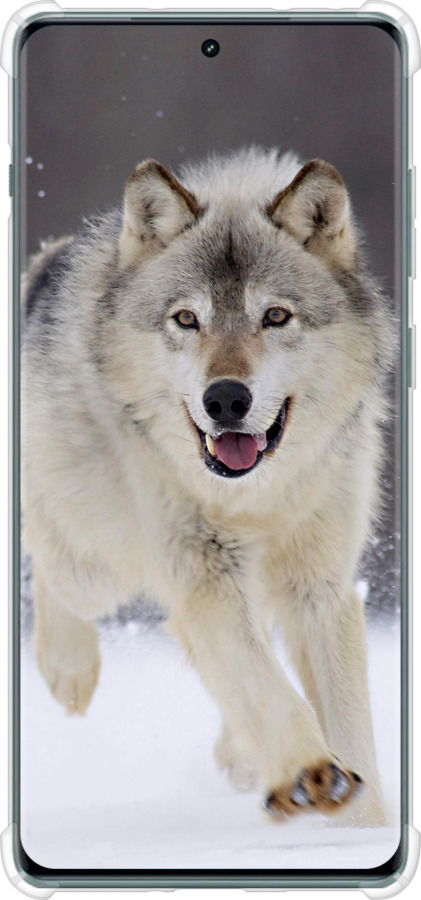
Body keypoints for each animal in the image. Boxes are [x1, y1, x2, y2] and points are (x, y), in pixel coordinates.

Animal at [22, 147, 394, 826]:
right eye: (187, 319)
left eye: (275, 316)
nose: (225, 399)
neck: (255, 497)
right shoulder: (204, 573)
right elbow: (267, 687)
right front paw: (309, 773)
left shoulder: (319, 586)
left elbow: (348, 723)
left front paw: (362, 826)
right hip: (98, 566)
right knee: (50, 558)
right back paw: (69, 670)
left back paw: (242, 757)